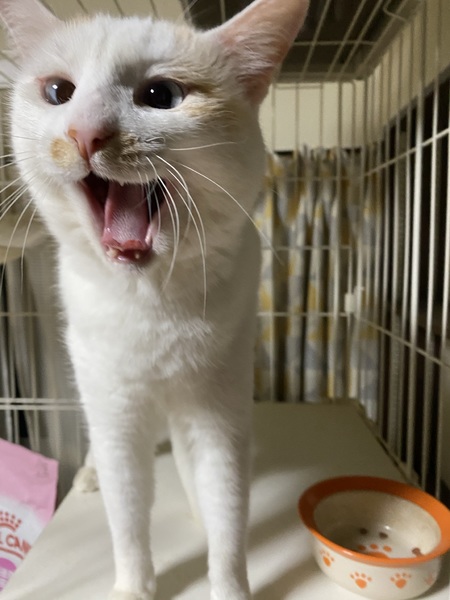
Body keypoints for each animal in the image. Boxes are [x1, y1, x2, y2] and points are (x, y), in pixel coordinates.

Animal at [0, 0, 309, 598]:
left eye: (161, 96)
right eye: (58, 92)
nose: (84, 132)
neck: (152, 303)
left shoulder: (218, 408)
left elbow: (227, 507)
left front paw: (228, 582)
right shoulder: (117, 410)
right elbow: (127, 515)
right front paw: (134, 586)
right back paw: (89, 475)